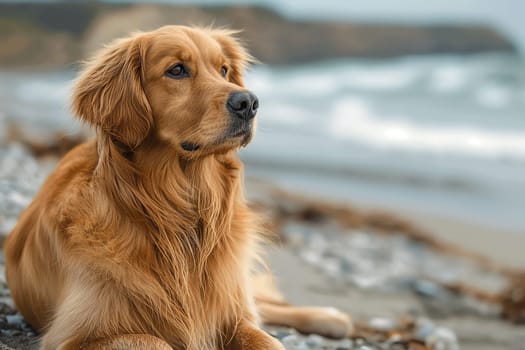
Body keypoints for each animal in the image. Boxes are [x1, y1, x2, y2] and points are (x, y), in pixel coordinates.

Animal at [4, 26, 350, 348]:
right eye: (177, 70)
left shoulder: (231, 313)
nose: (248, 101)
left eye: (223, 70)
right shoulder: (77, 335)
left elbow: (266, 338)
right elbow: (155, 340)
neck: (178, 211)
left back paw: (330, 317)